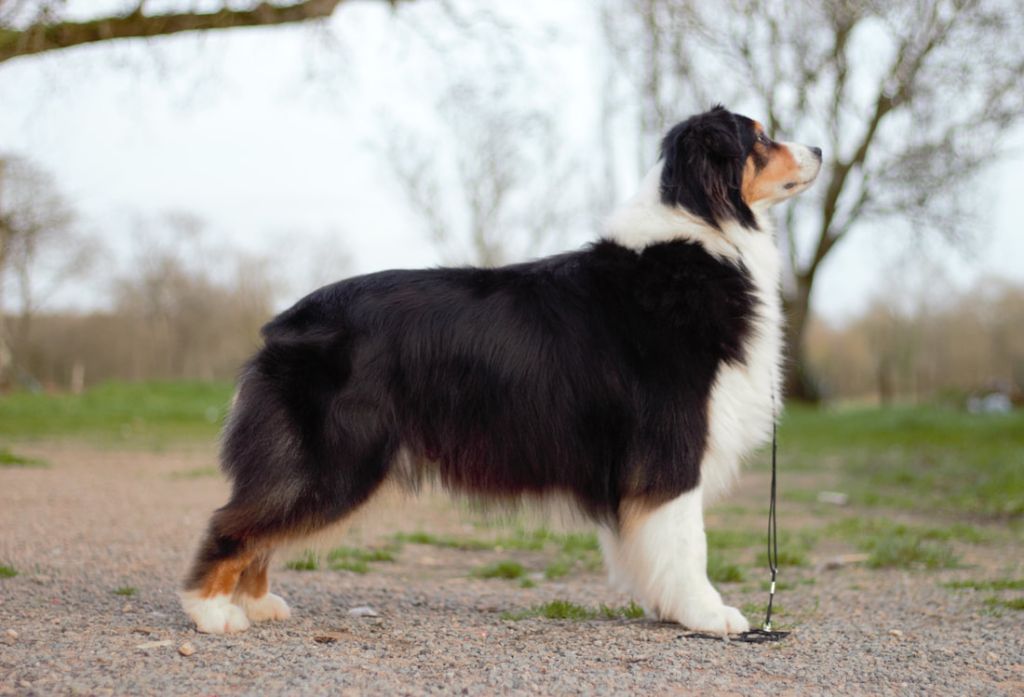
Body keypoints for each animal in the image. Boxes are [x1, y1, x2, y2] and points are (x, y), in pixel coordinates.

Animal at [180, 105, 822, 635]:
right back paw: (212, 613)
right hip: (336, 455)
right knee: (235, 521)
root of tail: (284, 321)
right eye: (760, 138)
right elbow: (688, 540)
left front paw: (672, 608)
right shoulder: (671, 442)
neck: (703, 232)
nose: (819, 148)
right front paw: (710, 614)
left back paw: (257, 602)